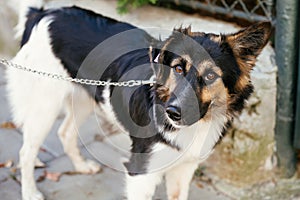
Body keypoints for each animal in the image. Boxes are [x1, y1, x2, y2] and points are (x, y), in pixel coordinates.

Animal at [5, 0, 272, 199]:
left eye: (210, 76)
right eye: (178, 68)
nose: (174, 113)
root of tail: (44, 13)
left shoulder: (184, 170)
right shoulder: (141, 173)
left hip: (83, 97)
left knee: (65, 132)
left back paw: (81, 166)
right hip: (45, 104)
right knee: (26, 152)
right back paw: (30, 192)